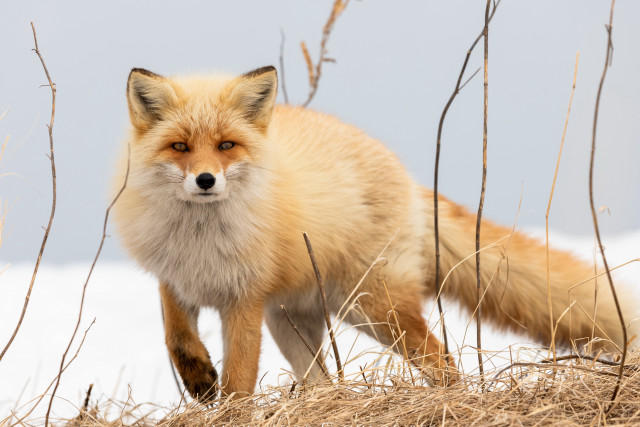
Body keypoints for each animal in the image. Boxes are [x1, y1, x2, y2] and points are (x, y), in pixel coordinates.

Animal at [113, 65, 637, 400]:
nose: (205, 180)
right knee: (324, 383)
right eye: (180, 147)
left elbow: (240, 379)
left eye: (226, 146)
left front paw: (229, 408)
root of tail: (407, 177)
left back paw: (452, 401)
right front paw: (200, 381)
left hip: (374, 309)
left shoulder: (244, 298)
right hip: (293, 320)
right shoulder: (176, 278)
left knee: (443, 362)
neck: (199, 239)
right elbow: (177, 339)